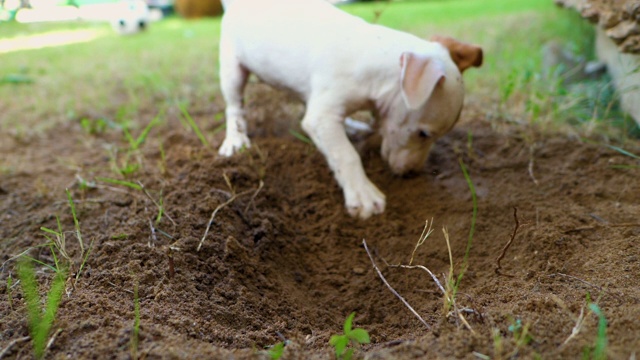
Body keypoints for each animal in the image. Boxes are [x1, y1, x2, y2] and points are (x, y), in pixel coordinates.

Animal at [218, 0, 482, 219]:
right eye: (424, 134)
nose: (412, 173)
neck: (374, 57)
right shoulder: (322, 117)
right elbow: (346, 154)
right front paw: (364, 195)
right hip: (232, 69)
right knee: (234, 107)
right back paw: (235, 140)